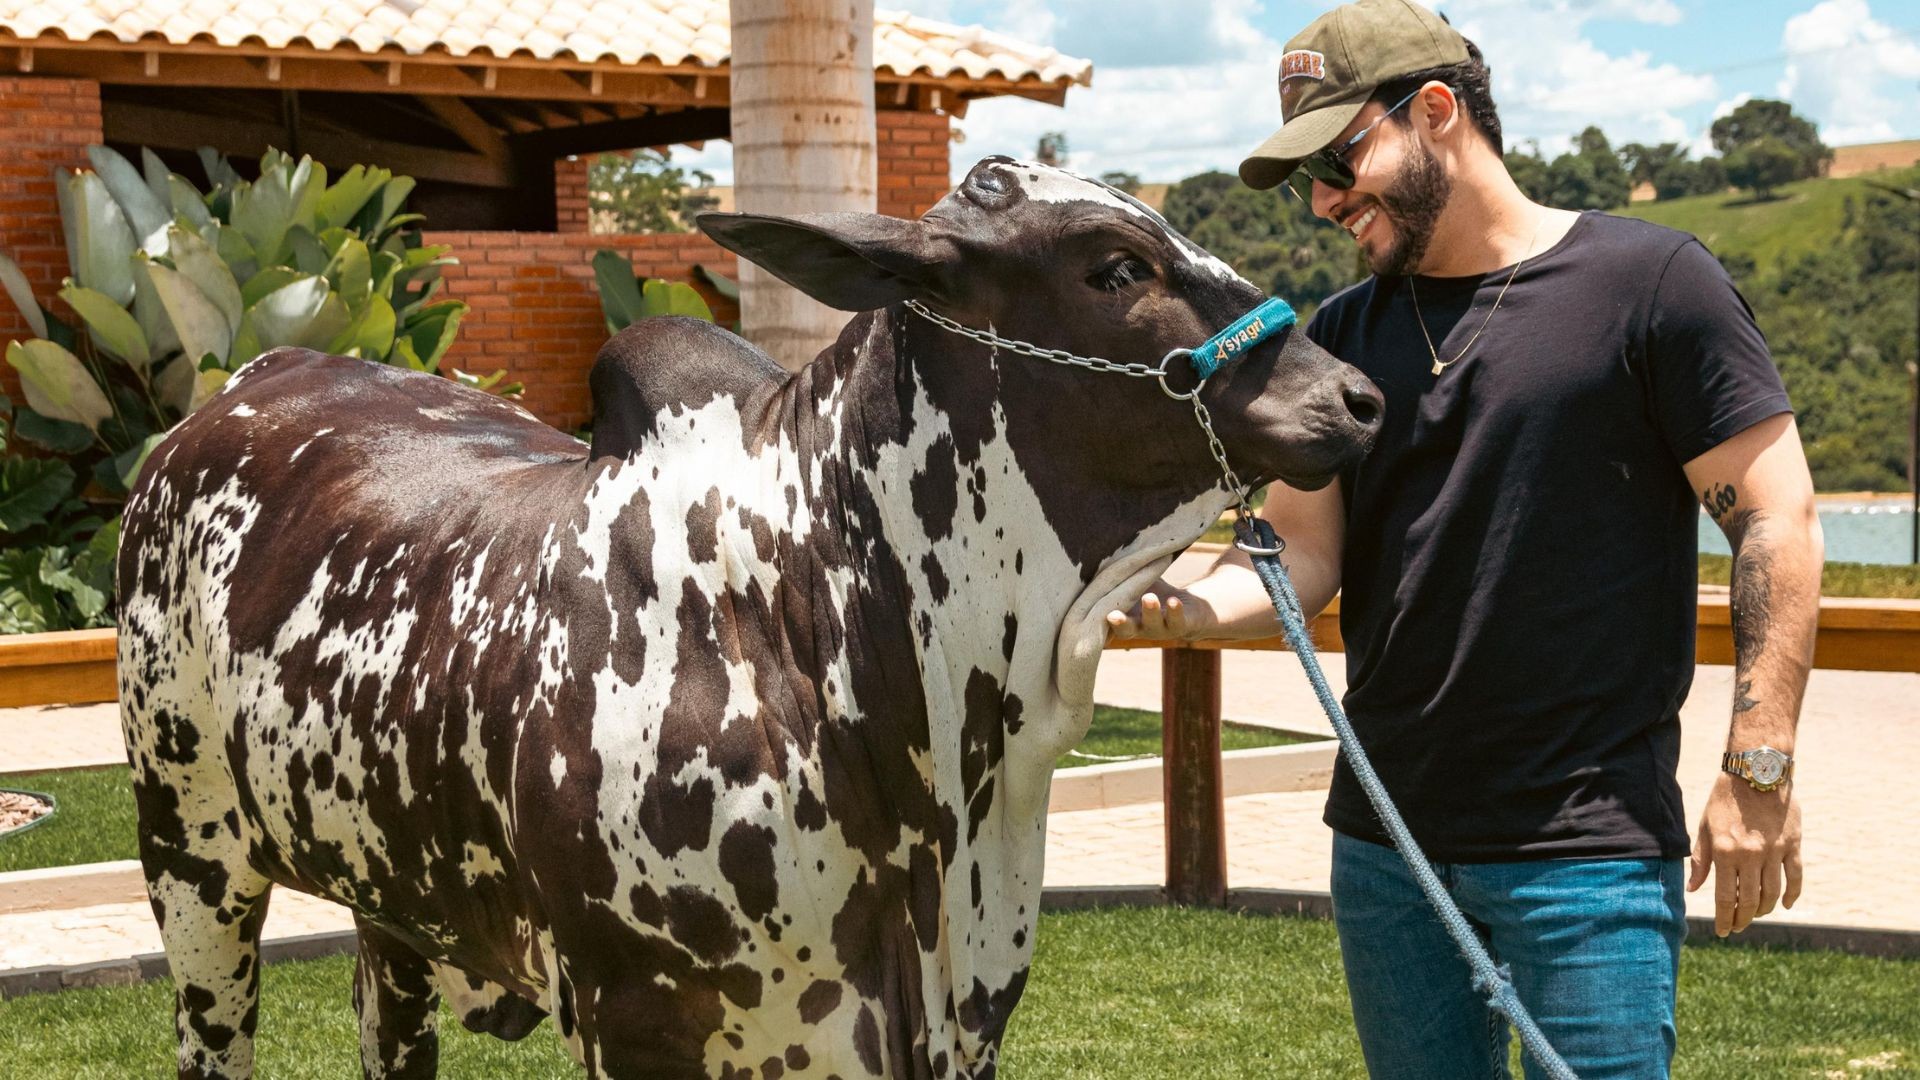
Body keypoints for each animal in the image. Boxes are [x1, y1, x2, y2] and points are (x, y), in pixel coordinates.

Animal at [117, 156, 1382, 1080]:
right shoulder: (637, 1024)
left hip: (390, 900)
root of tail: (243, 382)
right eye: (1116, 267)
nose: (1356, 397)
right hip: (192, 861)